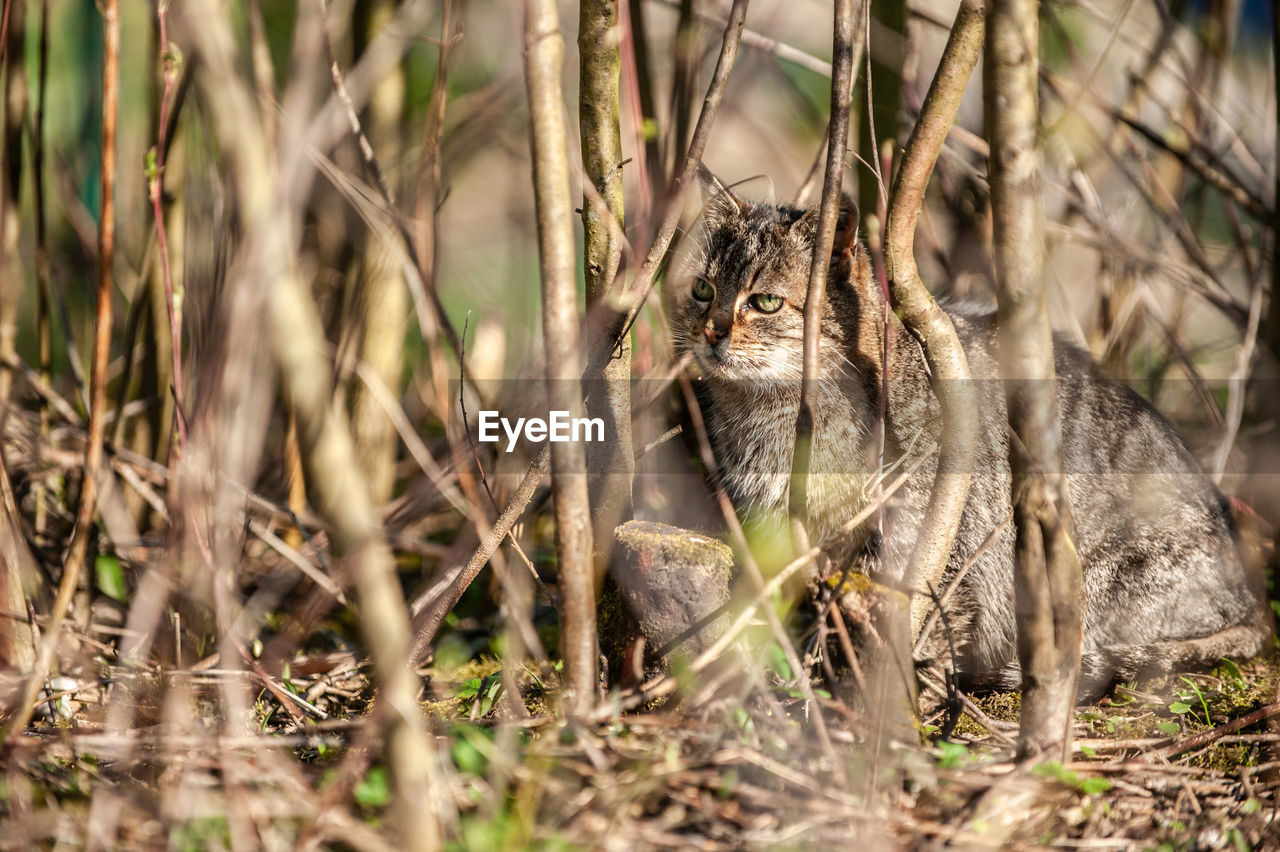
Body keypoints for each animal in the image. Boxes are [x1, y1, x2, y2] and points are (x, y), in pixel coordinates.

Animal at [665, 168, 1274, 695]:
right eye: (703, 289)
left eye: (765, 301)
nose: (712, 332)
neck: (771, 415)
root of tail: (1253, 599)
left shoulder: (928, 540)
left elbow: (923, 626)